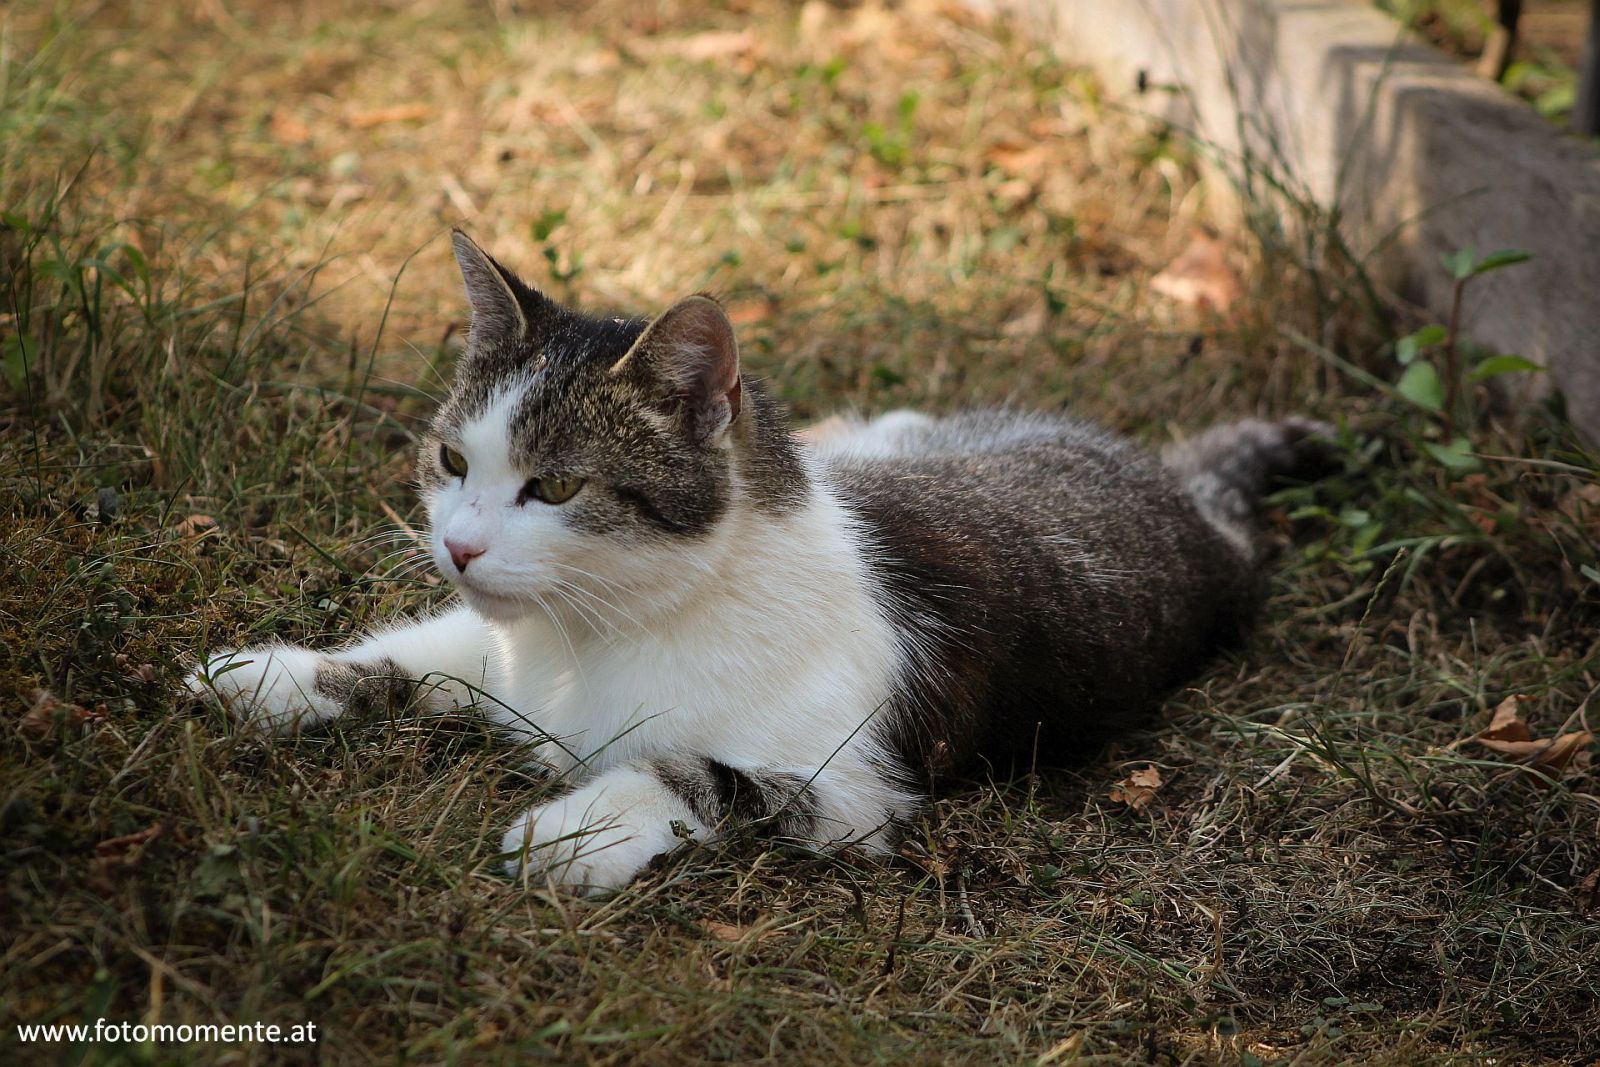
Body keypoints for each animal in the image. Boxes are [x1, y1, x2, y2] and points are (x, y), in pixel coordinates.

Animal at [184, 231, 1324, 895]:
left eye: (555, 487)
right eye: (452, 460)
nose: (456, 544)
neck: (611, 627)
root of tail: (1176, 490)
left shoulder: (853, 788)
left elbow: (698, 771)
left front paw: (576, 826)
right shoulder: (502, 640)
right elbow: (419, 649)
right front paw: (279, 675)